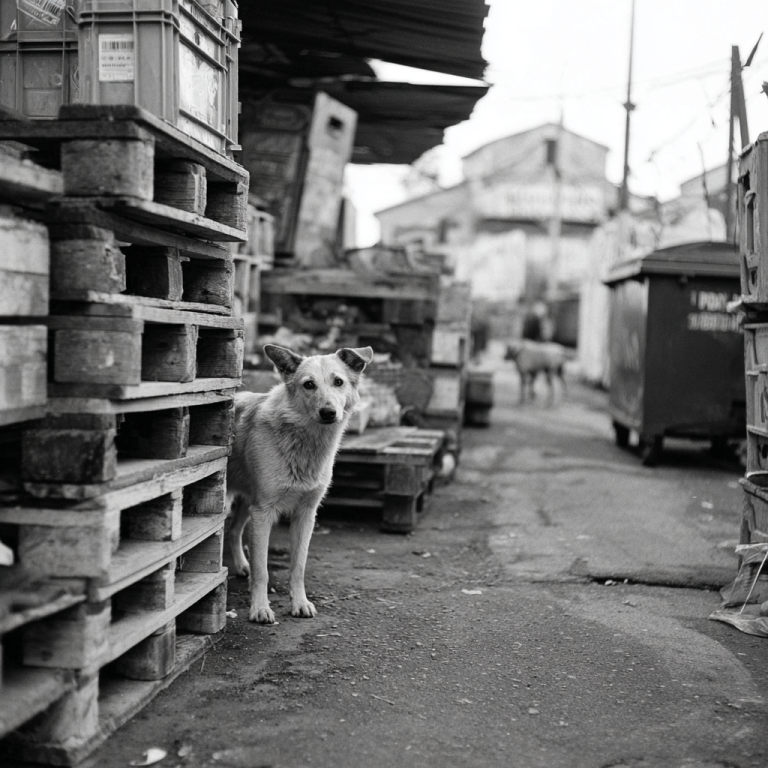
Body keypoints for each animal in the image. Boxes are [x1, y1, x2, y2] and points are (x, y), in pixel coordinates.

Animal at [226, 343, 373, 624]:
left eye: (338, 382)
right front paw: (260, 608)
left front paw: (300, 603)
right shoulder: (263, 513)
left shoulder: (306, 514)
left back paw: (239, 565)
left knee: (234, 530)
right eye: (308, 385)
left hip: (247, 502)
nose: (328, 413)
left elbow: (299, 565)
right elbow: (262, 570)